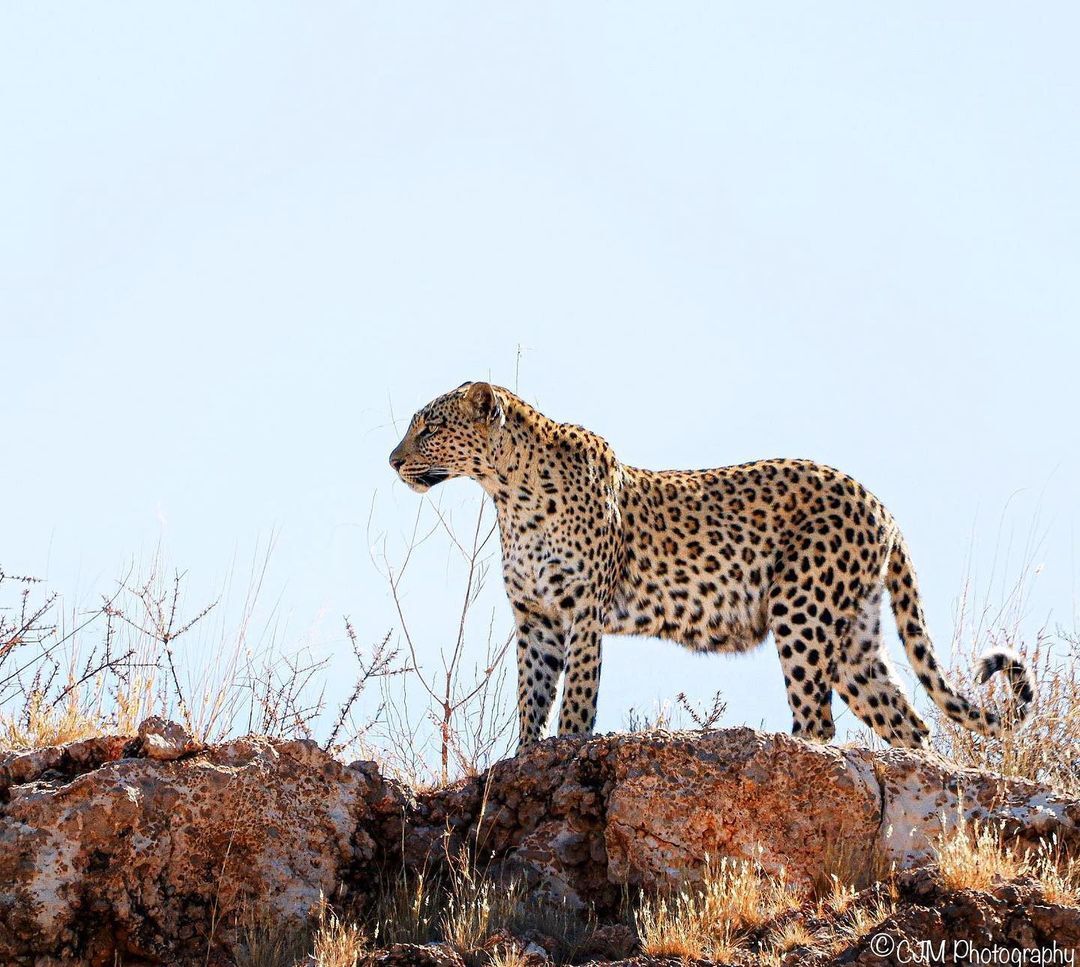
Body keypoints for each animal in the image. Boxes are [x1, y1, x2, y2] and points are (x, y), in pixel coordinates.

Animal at [390, 382, 1036, 751]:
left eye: (429, 427)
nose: (392, 460)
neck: (507, 491)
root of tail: (880, 503)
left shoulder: (583, 613)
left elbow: (575, 696)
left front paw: (564, 749)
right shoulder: (535, 617)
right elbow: (530, 694)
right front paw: (522, 758)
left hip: (802, 612)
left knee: (818, 722)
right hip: (854, 637)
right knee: (908, 721)